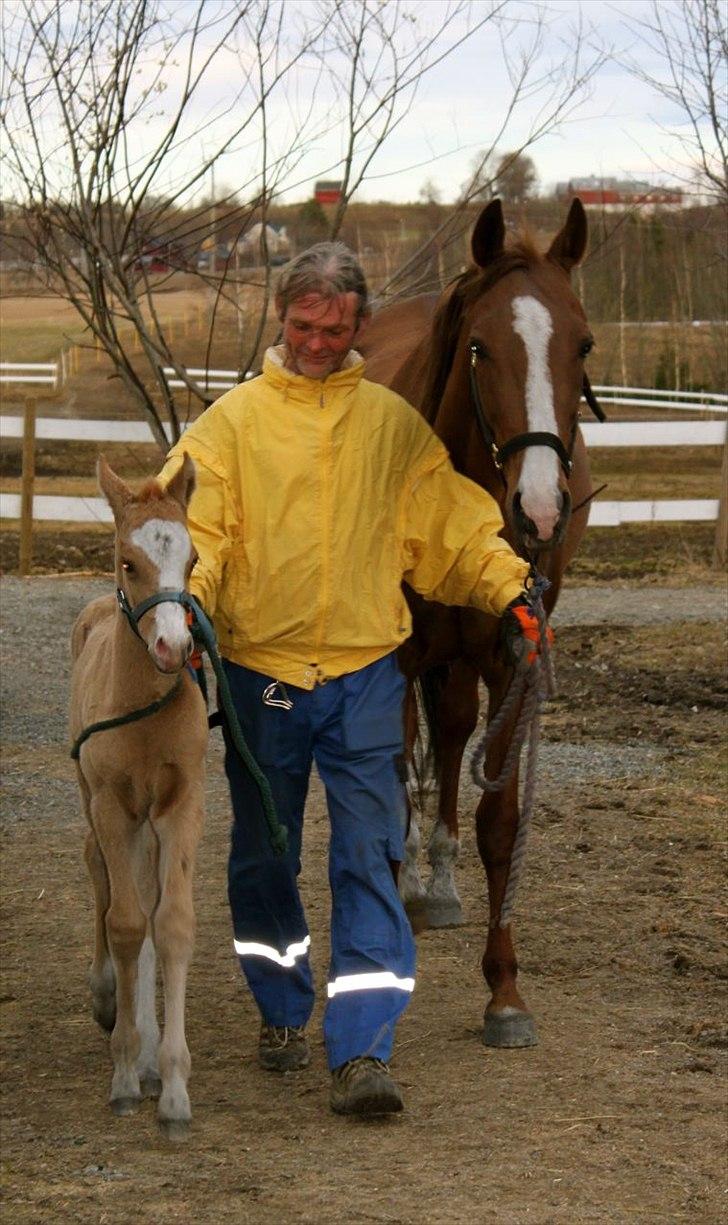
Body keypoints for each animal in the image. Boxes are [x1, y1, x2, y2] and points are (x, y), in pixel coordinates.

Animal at [360, 196, 598, 1048]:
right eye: (479, 346)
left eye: (584, 343)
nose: (542, 509)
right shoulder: (397, 658)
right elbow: (387, 793)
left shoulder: (512, 655)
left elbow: (500, 817)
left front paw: (505, 990)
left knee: (456, 728)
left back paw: (440, 881)